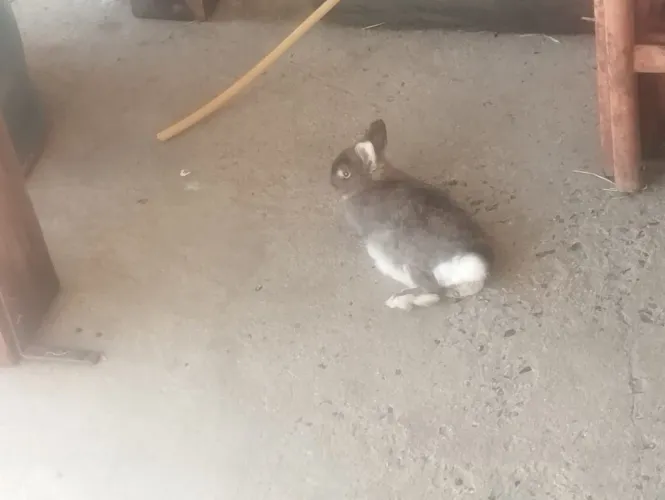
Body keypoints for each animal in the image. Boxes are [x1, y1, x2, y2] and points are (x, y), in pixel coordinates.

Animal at [330, 119, 493, 311]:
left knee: (433, 290)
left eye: (345, 173)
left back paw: (401, 300)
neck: (372, 182)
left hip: (410, 265)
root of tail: (470, 261)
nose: (331, 182)